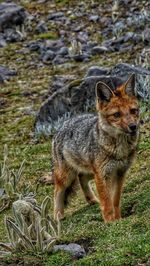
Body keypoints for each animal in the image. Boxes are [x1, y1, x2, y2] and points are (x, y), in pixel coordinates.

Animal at [52, 75, 140, 222]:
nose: (133, 127)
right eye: (116, 115)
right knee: (57, 191)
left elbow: (115, 200)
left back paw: (92, 200)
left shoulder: (120, 173)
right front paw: (110, 221)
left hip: (91, 172)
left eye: (133, 111)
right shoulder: (103, 175)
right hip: (67, 176)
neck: (119, 149)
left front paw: (118, 218)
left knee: (81, 178)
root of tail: (62, 126)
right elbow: (107, 202)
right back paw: (58, 215)